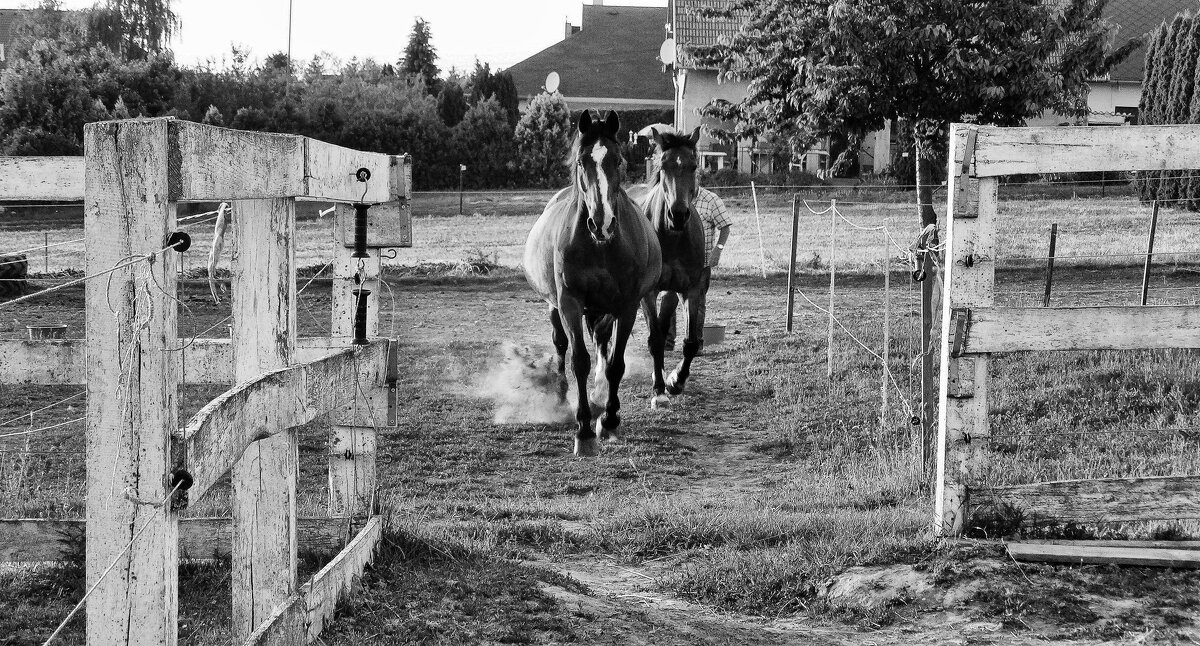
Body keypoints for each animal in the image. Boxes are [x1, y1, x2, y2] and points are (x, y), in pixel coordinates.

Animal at [520, 109, 662, 451]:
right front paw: (583, 428)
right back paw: (562, 396)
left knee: (602, 343)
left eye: (618, 159)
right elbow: (579, 361)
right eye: (581, 161)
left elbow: (615, 363)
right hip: (555, 306)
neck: (601, 247)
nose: (602, 223)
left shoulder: (626, 306)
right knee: (561, 344)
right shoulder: (570, 303)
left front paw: (609, 420)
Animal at [628, 125, 700, 408]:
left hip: (670, 291)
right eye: (664, 166)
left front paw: (675, 381)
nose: (678, 215)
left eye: (693, 165)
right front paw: (659, 389)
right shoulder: (647, 292)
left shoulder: (691, 289)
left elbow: (691, 342)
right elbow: (655, 340)